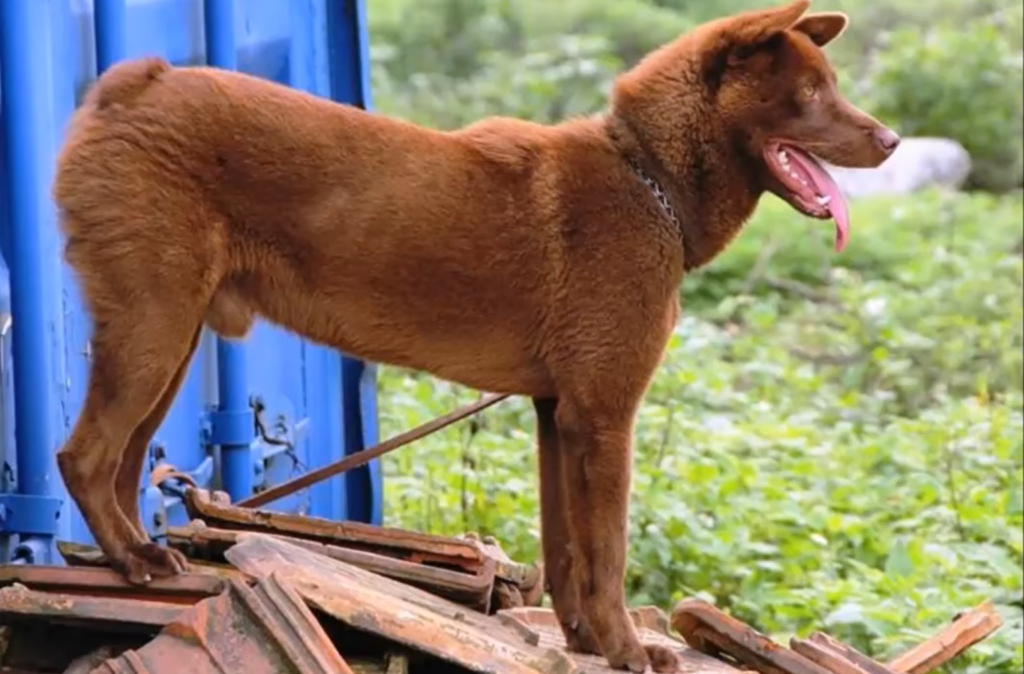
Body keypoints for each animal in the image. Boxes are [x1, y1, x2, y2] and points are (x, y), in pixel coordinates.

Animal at [51, 1, 897, 667]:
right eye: (812, 93)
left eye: (832, 86)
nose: (889, 140)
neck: (646, 177)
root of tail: (138, 83)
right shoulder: (604, 419)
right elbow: (608, 554)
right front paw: (629, 651)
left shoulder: (558, 416)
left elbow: (566, 554)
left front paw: (587, 643)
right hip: (153, 331)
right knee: (83, 457)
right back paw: (134, 562)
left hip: (168, 343)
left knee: (123, 464)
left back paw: (135, 558)